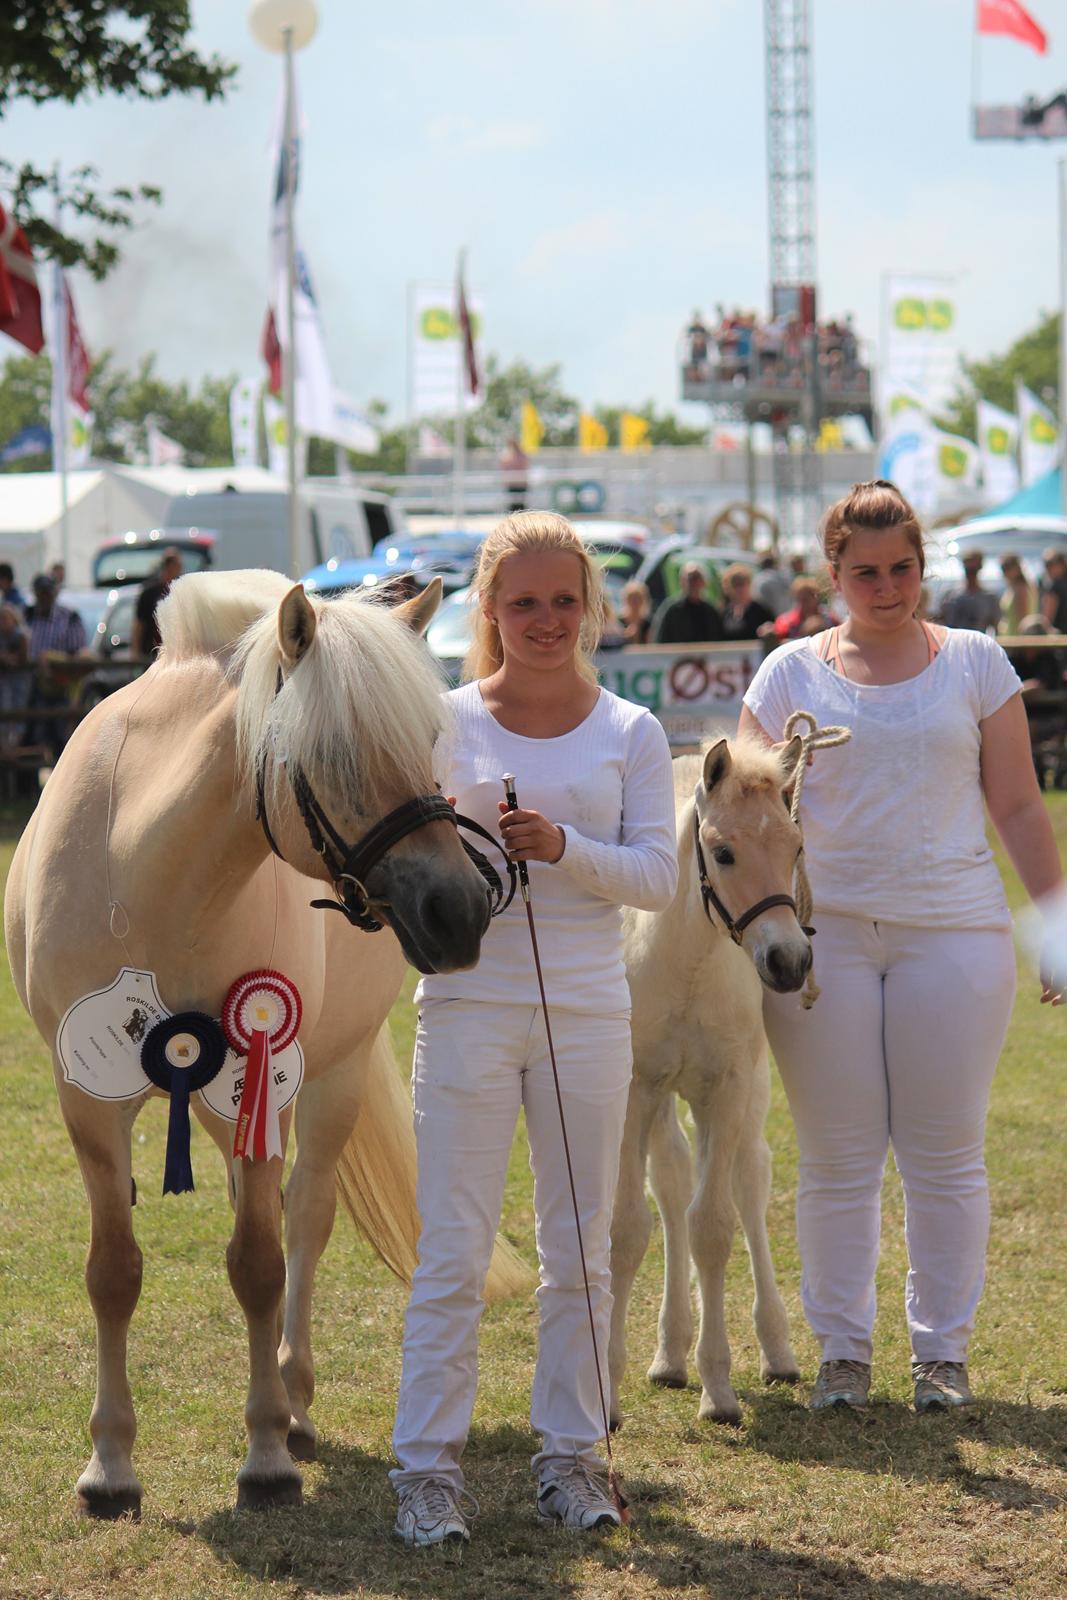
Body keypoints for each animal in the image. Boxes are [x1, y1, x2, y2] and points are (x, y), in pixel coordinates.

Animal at [607, 736, 809, 1427]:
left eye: (796, 847)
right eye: (723, 853)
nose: (789, 961)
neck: (689, 962)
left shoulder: (727, 1087)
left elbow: (715, 1228)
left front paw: (718, 1390)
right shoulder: (635, 1088)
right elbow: (629, 1227)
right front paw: (603, 1393)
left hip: (748, 1095)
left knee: (749, 1181)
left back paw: (777, 1350)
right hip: (668, 1098)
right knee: (671, 1186)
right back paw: (669, 1354)